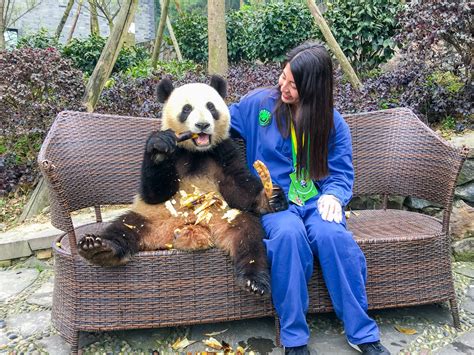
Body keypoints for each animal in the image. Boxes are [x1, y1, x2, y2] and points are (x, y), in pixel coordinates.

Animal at [76, 75, 286, 294]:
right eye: (186, 109)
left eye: (211, 106)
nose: (202, 125)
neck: (196, 151)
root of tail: (186, 229)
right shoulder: (173, 154)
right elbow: (155, 191)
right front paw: (159, 149)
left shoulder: (223, 152)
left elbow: (238, 185)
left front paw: (270, 198)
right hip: (150, 217)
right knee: (123, 227)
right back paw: (98, 248)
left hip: (226, 217)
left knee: (248, 236)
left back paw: (254, 280)